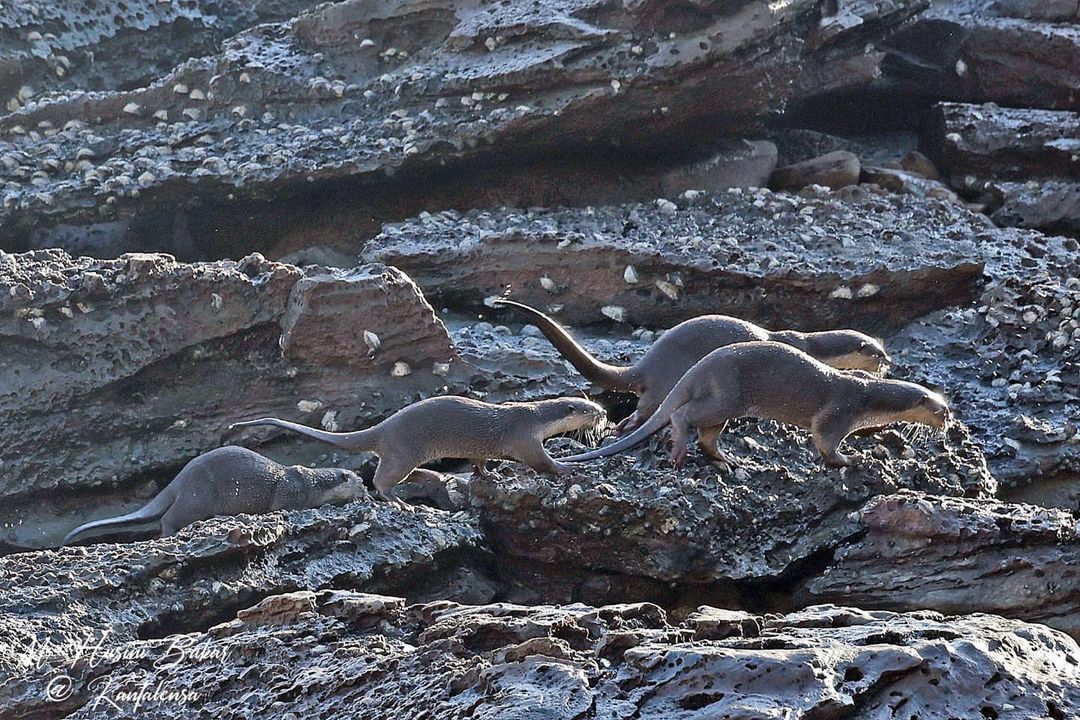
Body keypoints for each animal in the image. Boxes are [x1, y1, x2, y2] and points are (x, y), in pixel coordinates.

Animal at [62, 446, 365, 545]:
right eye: (361, 481)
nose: (366, 493)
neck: (313, 483)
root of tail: (180, 478)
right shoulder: (290, 492)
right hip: (198, 498)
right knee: (169, 518)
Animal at [230, 396, 606, 509]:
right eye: (587, 409)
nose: (604, 411)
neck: (534, 417)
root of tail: (383, 427)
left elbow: (480, 462)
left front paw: (489, 474)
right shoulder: (524, 438)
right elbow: (541, 462)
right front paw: (569, 469)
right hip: (403, 450)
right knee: (381, 479)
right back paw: (399, 501)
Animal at [492, 299, 890, 434]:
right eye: (875, 352)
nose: (889, 361)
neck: (808, 342)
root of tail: (646, 365)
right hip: (667, 383)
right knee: (646, 409)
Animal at [557, 342, 948, 468]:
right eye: (941, 410)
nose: (948, 419)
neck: (869, 395)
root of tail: (700, 366)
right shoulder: (840, 412)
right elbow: (825, 440)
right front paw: (852, 459)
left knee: (707, 435)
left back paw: (727, 460)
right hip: (726, 395)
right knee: (684, 416)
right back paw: (679, 451)